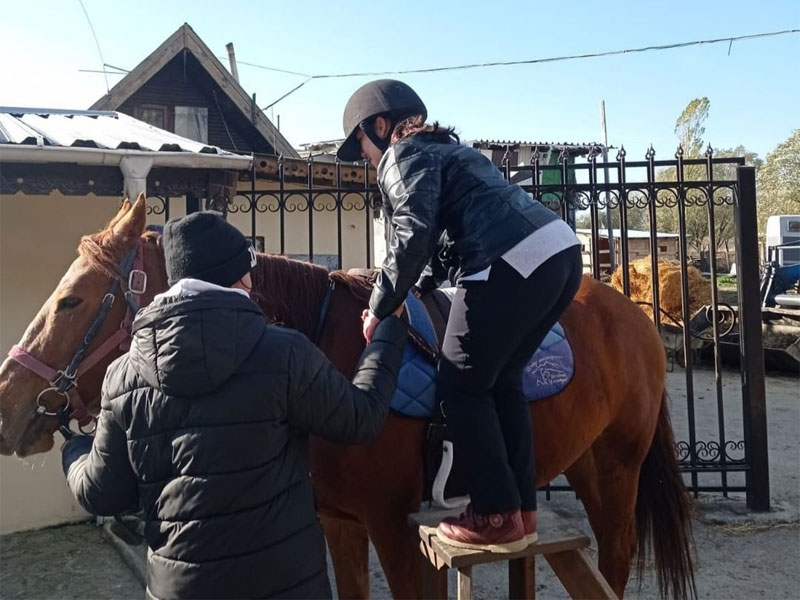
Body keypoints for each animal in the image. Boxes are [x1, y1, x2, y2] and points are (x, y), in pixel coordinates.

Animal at [0, 198, 692, 600]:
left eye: (71, 300)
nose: (8, 402)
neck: (326, 352)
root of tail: (633, 312)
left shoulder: (394, 527)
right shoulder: (341, 522)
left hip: (619, 466)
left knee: (617, 557)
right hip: (588, 462)